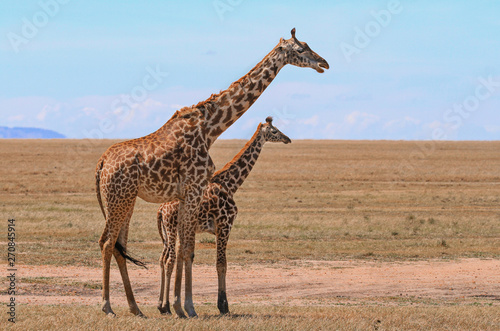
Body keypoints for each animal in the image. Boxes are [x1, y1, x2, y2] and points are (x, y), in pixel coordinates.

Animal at [155, 117, 290, 316]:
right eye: (274, 131)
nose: (287, 139)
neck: (230, 184)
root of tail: (161, 210)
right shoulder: (225, 225)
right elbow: (221, 264)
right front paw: (223, 305)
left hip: (169, 231)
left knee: (163, 259)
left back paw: (163, 306)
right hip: (172, 228)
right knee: (170, 260)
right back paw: (167, 306)